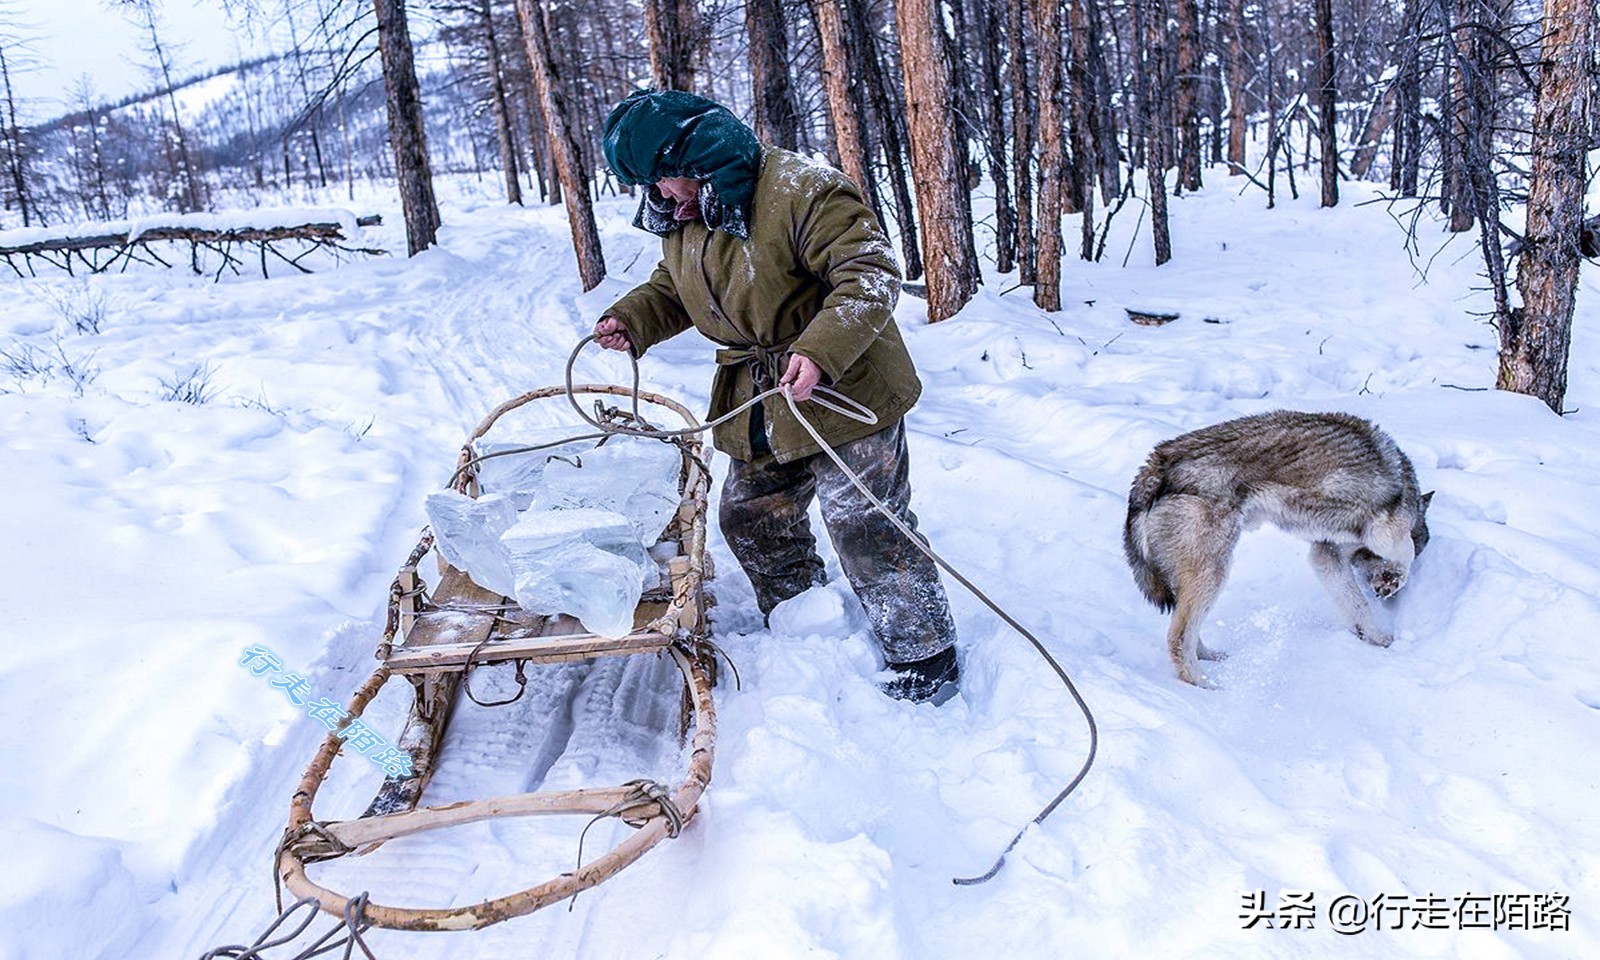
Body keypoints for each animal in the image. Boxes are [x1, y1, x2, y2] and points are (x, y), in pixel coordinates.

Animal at [1126, 408, 1440, 684]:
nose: (1385, 592)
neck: (1407, 485)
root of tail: (1156, 462)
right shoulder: (1387, 529)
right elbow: (1405, 553)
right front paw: (1394, 578)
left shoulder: (1326, 556)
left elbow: (1356, 604)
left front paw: (1374, 637)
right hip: (1213, 573)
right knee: (1178, 638)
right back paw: (1205, 685)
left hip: (1196, 580)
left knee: (1186, 630)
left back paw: (1211, 658)